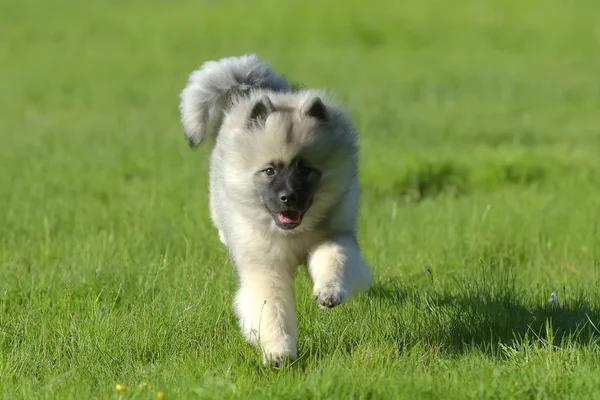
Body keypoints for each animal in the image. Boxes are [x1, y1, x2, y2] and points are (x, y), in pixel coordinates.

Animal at [178, 54, 372, 368]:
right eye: (270, 170)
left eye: (304, 169)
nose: (288, 197)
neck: (292, 234)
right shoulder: (266, 267)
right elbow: (272, 310)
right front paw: (279, 352)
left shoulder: (335, 236)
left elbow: (334, 260)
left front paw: (328, 292)